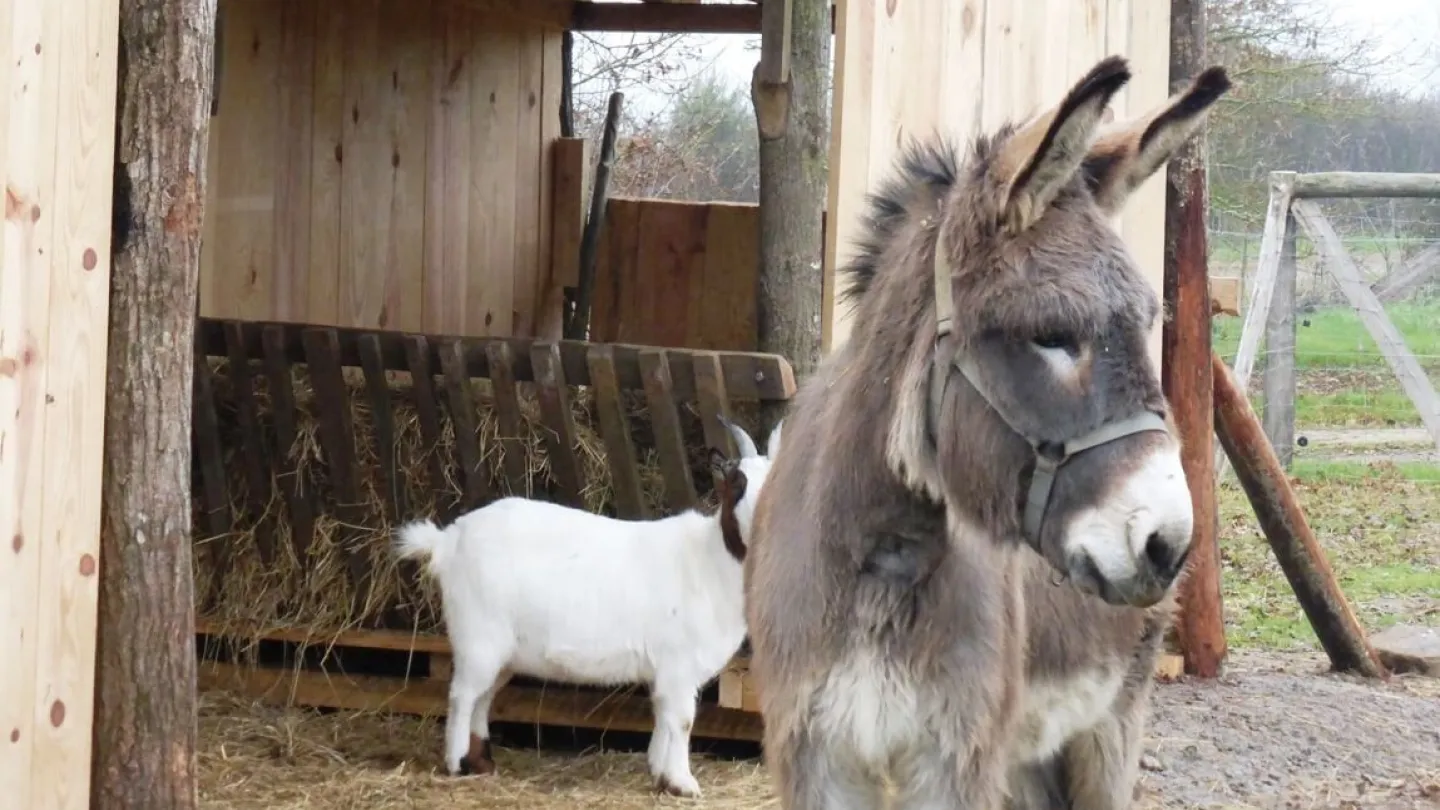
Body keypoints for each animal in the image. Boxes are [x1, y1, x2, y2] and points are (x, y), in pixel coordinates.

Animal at [394, 415, 783, 795]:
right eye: (736, 483)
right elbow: (683, 720)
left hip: (502, 649)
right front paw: (682, 783)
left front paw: (660, 773)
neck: (709, 560)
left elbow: (663, 717)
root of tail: (447, 540)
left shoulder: (666, 670)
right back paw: (456, 763)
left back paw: (482, 762)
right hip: (477, 635)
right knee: (462, 695)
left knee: (483, 696)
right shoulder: (678, 665)